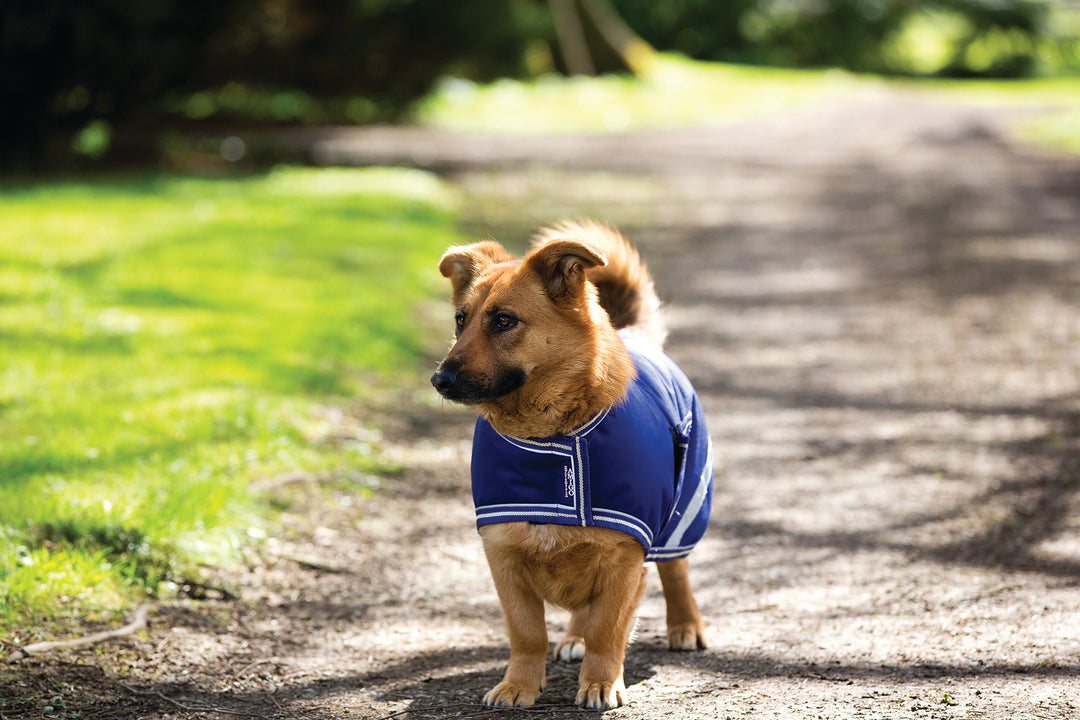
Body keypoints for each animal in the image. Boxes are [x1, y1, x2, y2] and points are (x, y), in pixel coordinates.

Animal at [429, 220, 717, 708]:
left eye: (503, 321)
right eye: (460, 320)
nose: (439, 379)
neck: (550, 437)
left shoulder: (624, 556)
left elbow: (608, 627)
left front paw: (600, 681)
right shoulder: (504, 556)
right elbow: (528, 634)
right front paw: (519, 685)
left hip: (682, 513)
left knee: (675, 570)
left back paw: (685, 625)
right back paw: (574, 637)